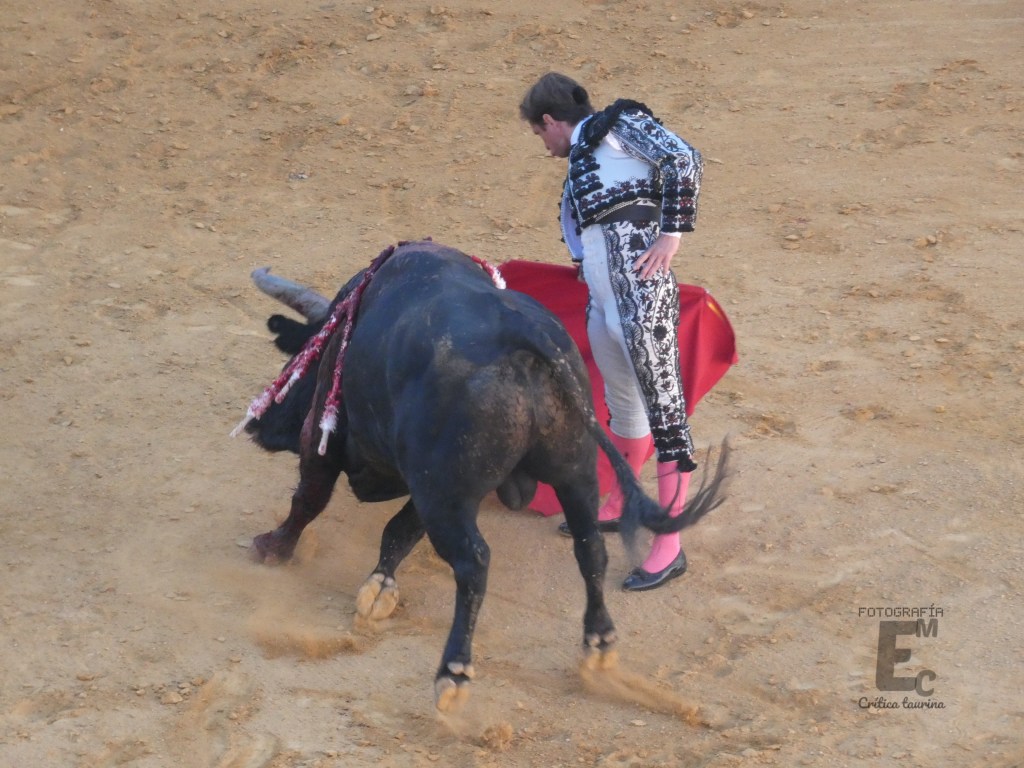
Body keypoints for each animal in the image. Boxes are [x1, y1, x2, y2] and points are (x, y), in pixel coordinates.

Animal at [232, 239, 729, 711]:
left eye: (299, 358)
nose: (258, 425)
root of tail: (524, 337)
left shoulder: (339, 435)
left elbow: (312, 498)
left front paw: (273, 547)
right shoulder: (430, 479)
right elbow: (399, 529)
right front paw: (379, 588)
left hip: (446, 494)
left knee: (474, 563)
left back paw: (453, 672)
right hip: (572, 470)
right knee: (590, 547)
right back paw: (599, 643)